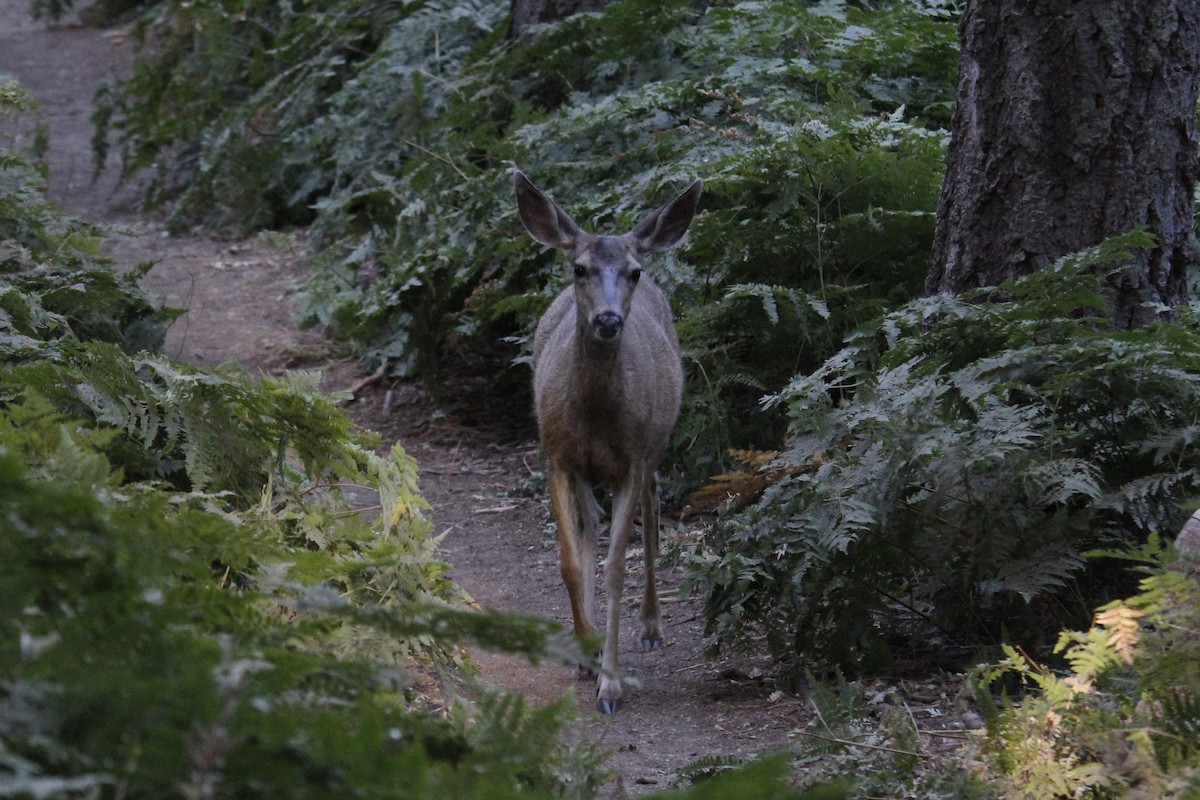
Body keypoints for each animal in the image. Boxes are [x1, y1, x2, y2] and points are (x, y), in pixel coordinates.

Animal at [514, 170, 702, 714]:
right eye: (579, 267)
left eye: (633, 272)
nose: (609, 320)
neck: (594, 416)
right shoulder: (556, 457)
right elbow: (570, 563)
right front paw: (584, 654)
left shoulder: (631, 460)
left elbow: (618, 565)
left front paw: (611, 685)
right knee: (591, 523)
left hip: (655, 441)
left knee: (654, 504)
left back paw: (651, 627)